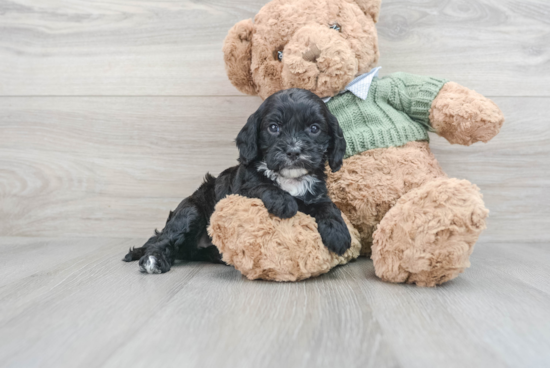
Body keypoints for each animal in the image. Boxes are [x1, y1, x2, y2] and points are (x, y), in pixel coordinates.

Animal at [123, 88, 352, 274]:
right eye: (274, 127)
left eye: (314, 128)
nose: (294, 151)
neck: (289, 177)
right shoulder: (242, 188)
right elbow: (261, 185)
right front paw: (284, 202)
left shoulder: (317, 193)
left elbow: (328, 206)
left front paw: (338, 233)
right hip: (190, 211)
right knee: (164, 240)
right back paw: (153, 260)